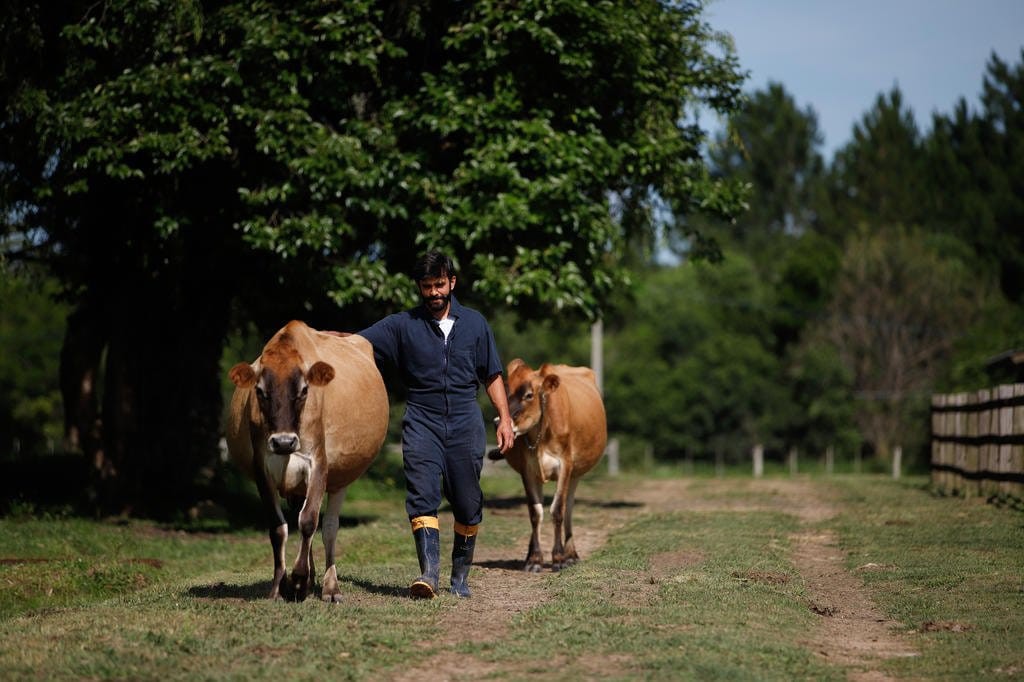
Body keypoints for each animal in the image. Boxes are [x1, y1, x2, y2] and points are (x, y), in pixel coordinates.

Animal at [226, 320, 388, 602]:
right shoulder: (262, 469)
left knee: (329, 527)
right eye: (260, 391)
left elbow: (310, 520)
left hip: (341, 477)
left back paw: (329, 587)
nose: (283, 442)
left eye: (303, 390)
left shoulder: (319, 464)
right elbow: (278, 527)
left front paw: (300, 579)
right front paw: (281, 586)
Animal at [499, 359, 607, 572]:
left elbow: (557, 511)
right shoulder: (527, 470)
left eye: (529, 395)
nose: (500, 421)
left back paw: (571, 554)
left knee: (568, 508)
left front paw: (558, 558)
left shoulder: (565, 465)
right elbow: (535, 512)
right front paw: (534, 560)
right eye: (506, 392)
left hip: (576, 473)